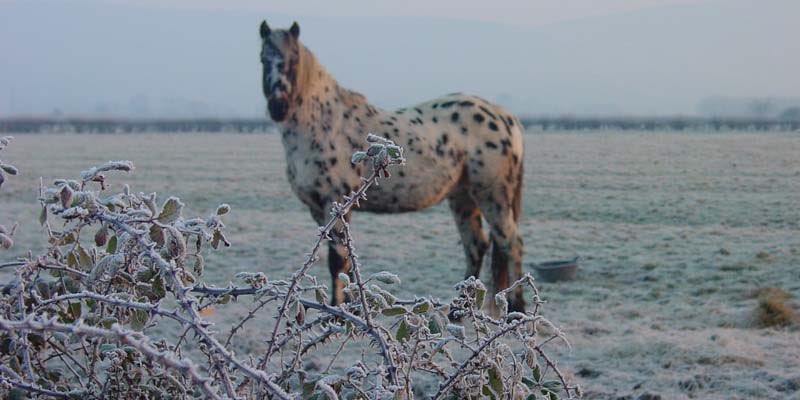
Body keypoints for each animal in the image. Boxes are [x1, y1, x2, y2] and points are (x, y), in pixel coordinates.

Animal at [259, 21, 526, 312]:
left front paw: (339, 309)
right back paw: (459, 310)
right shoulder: (320, 211)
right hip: (462, 196)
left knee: (511, 243)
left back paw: (517, 308)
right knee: (476, 245)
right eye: (263, 58)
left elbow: (337, 263)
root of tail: (506, 117)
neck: (324, 124)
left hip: (492, 195)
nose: (278, 106)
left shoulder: (336, 203)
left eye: (294, 58)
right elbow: (346, 264)